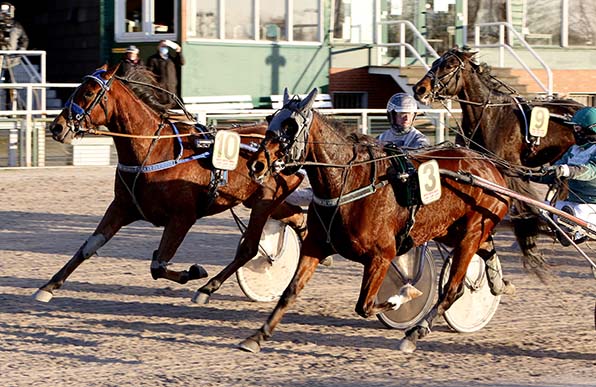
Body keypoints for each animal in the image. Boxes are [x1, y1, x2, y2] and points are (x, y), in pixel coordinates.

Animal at [36, 63, 308, 304]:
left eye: (89, 93)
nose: (57, 127)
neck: (153, 150)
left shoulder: (182, 216)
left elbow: (158, 265)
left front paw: (194, 271)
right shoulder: (122, 207)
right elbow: (88, 247)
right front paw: (48, 286)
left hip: (265, 199)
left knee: (250, 248)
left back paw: (207, 289)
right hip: (259, 200)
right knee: (297, 219)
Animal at [240, 89, 510, 354]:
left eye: (290, 127)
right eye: (270, 120)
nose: (257, 164)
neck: (350, 183)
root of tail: (490, 167)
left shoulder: (382, 255)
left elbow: (366, 305)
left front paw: (406, 293)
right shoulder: (315, 246)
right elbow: (290, 291)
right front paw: (257, 336)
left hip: (471, 231)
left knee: (453, 289)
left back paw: (415, 333)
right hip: (450, 230)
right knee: (484, 250)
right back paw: (498, 282)